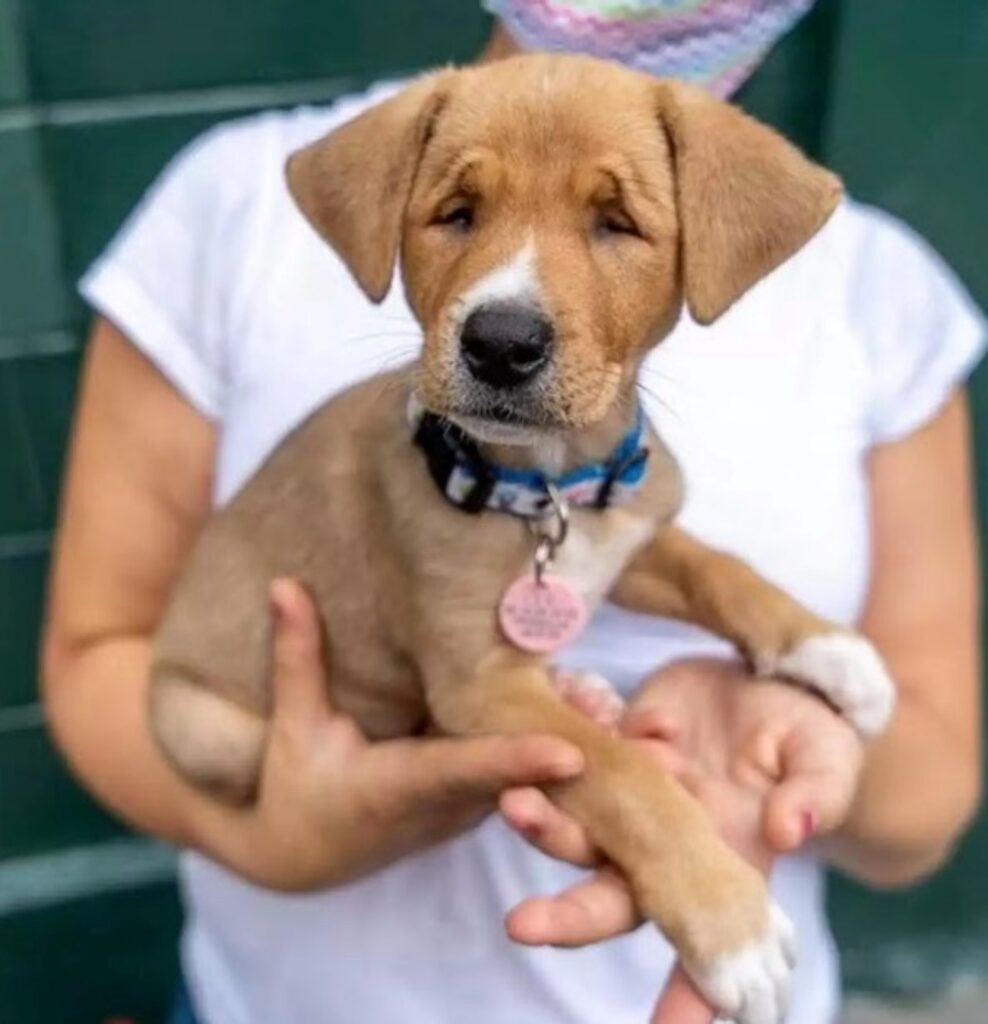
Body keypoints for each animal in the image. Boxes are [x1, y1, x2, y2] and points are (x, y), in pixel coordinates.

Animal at [148, 54, 892, 1024]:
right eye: (455, 213)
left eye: (615, 222)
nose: (501, 342)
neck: (546, 488)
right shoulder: (478, 681)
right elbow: (626, 777)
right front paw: (732, 924)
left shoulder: (629, 538)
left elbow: (717, 567)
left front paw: (827, 649)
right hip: (207, 729)